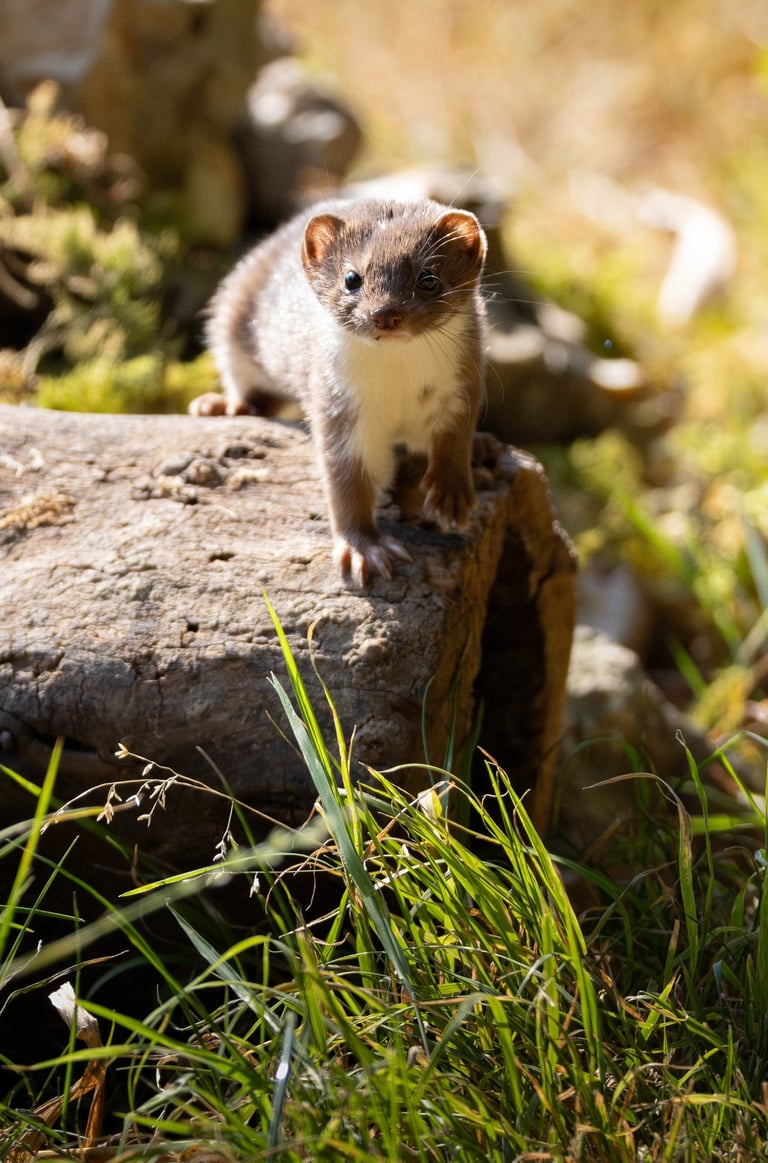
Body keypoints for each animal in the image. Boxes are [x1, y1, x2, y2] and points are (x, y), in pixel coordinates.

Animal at [190, 198, 487, 586]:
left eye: (429, 278)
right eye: (351, 278)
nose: (385, 314)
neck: (397, 386)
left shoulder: (462, 386)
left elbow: (455, 439)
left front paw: (452, 495)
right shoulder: (335, 403)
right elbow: (346, 480)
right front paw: (363, 550)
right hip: (234, 318)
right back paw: (222, 406)